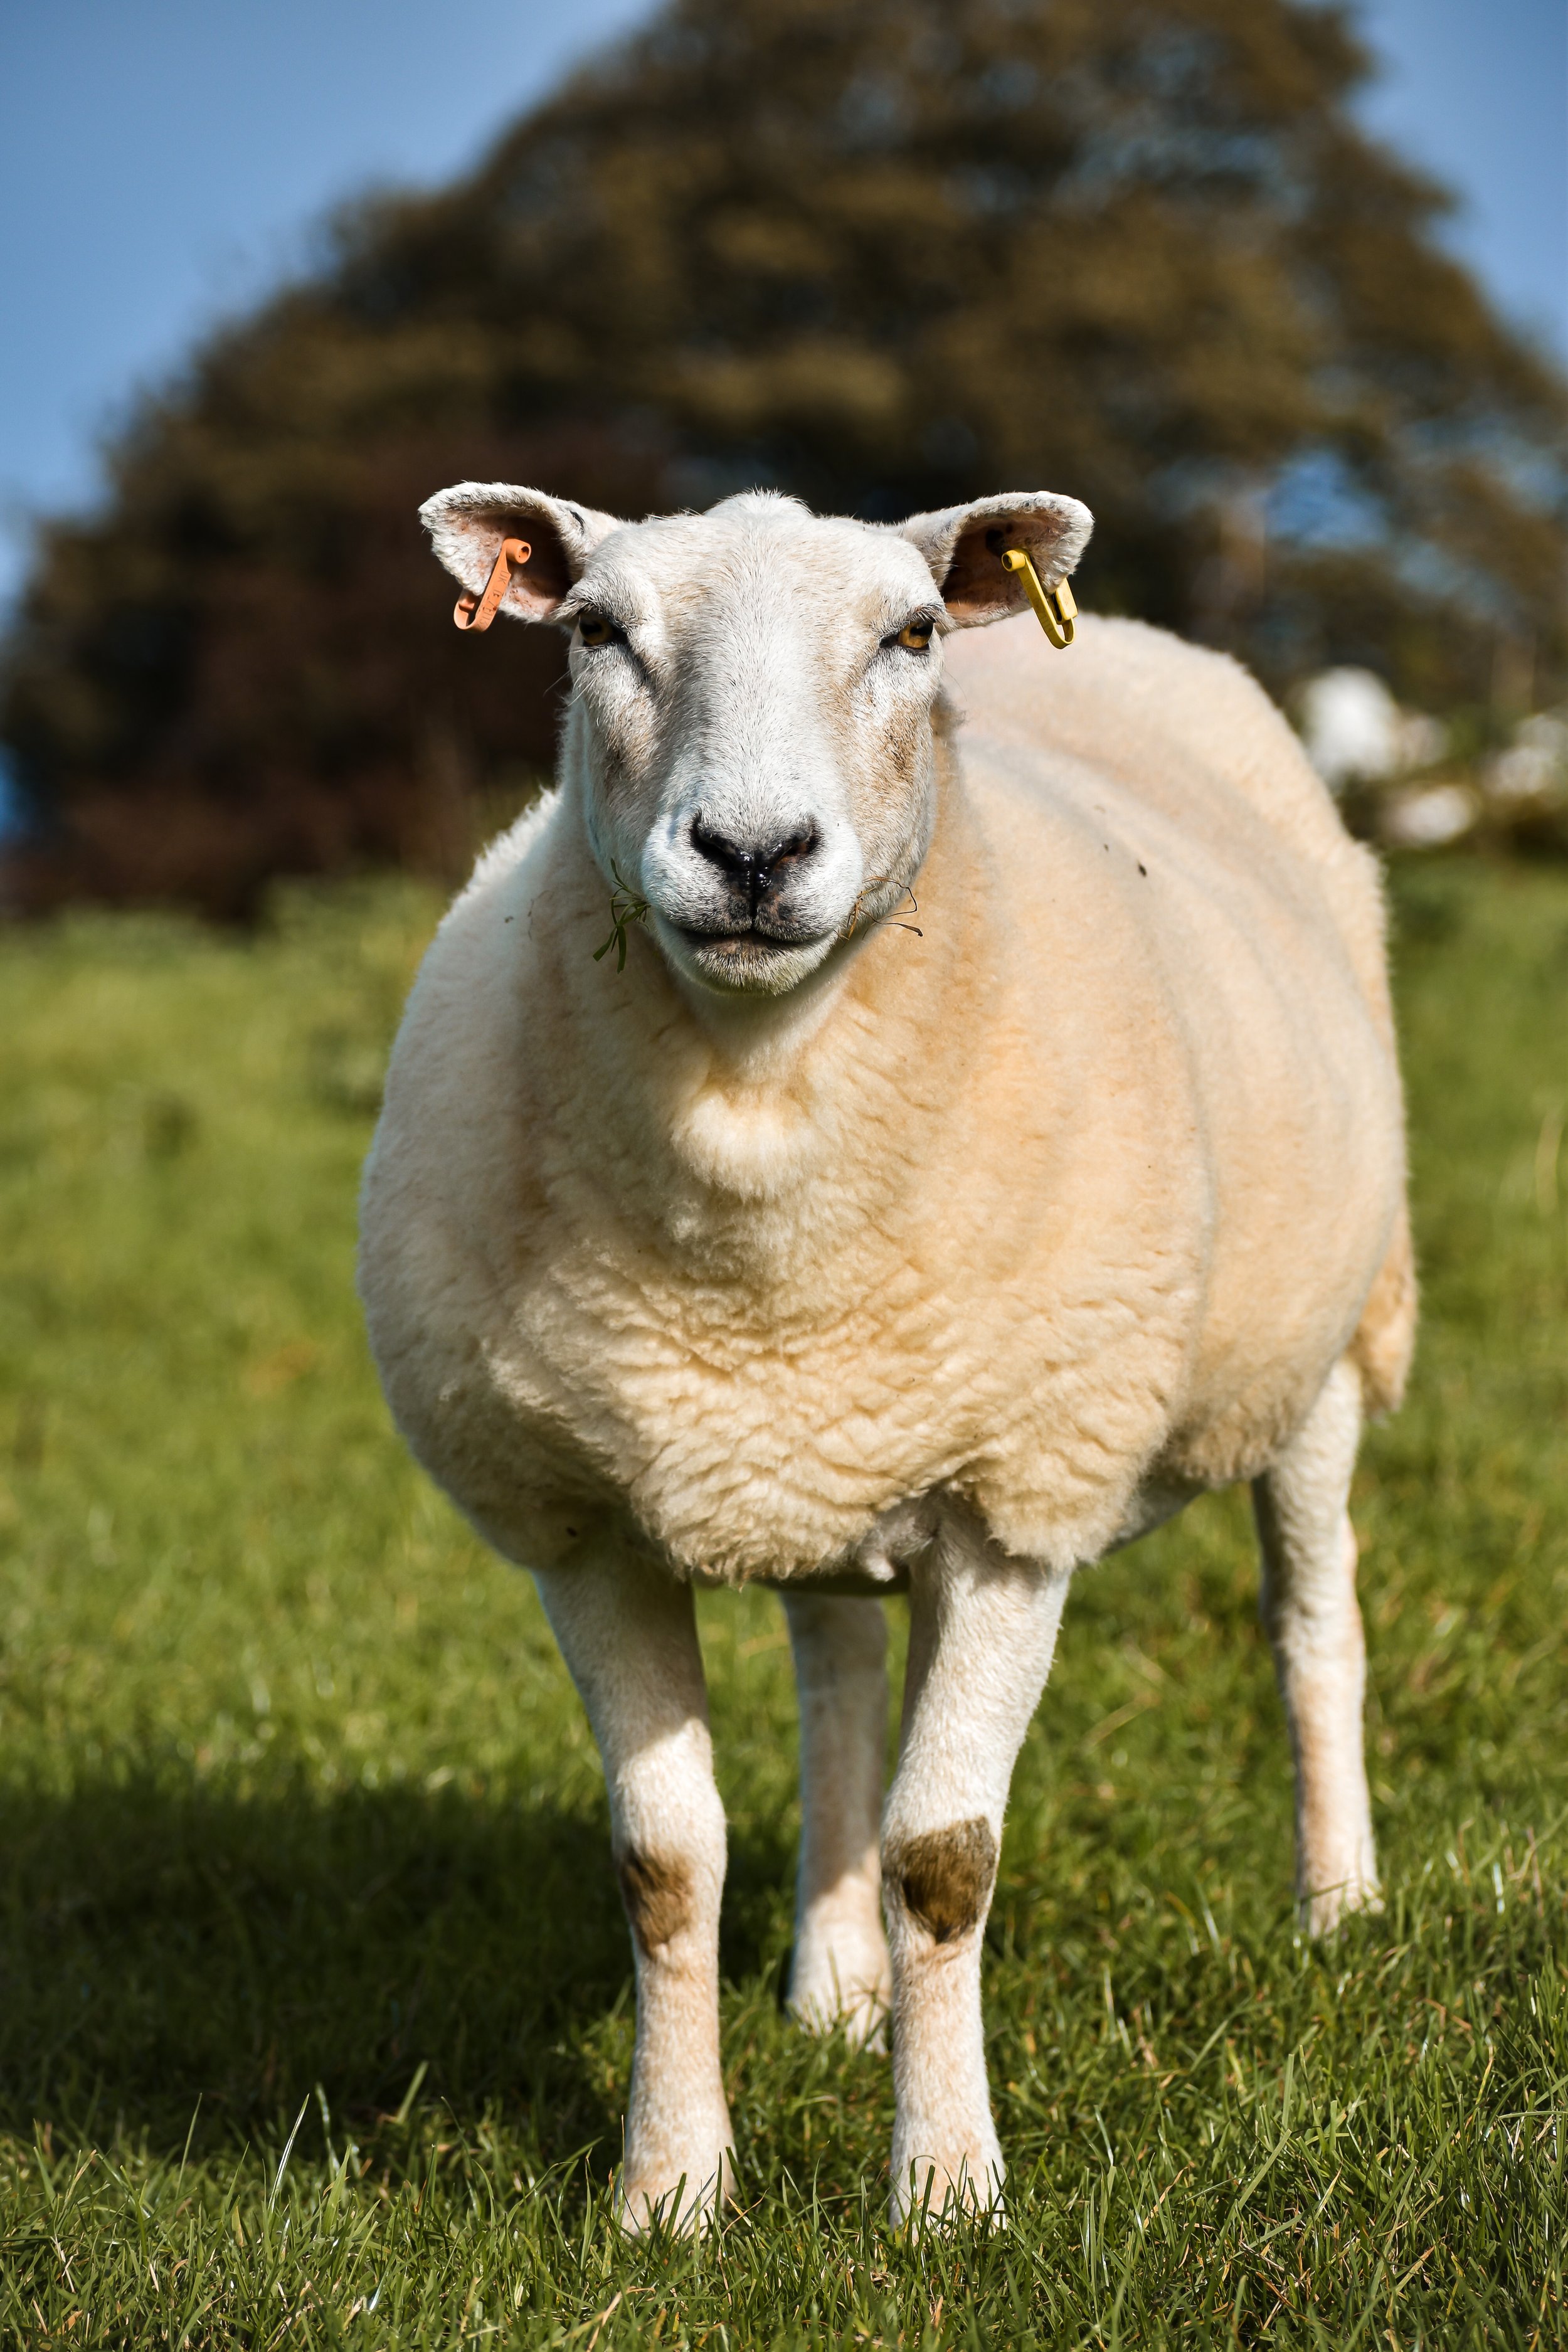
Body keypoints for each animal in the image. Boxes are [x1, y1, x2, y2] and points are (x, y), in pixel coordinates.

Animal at [358, 482, 1415, 2232]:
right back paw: (836, 1986)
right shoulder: (581, 1522)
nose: (752, 855)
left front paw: (942, 2188)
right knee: (845, 1677)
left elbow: (949, 1857)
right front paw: (669, 2190)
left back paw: (1337, 1904)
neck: (757, 1108)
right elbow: (663, 1865)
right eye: (596, 632)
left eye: (911, 633)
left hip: (1319, 1344)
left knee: (1311, 1624)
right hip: (840, 1438)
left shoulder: (1020, 1501)